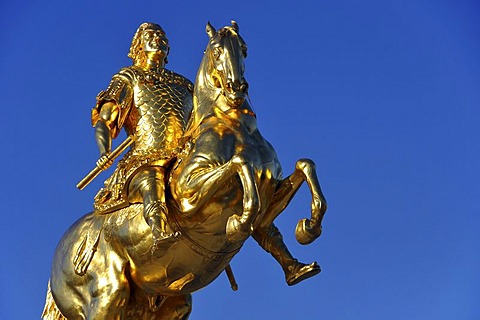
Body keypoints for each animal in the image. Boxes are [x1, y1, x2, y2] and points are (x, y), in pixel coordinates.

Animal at [42, 21, 326, 318]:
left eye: (244, 49)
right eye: (216, 50)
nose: (236, 88)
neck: (235, 128)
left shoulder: (271, 189)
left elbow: (304, 167)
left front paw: (308, 228)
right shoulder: (189, 195)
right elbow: (241, 164)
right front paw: (238, 222)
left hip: (171, 303)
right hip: (108, 295)